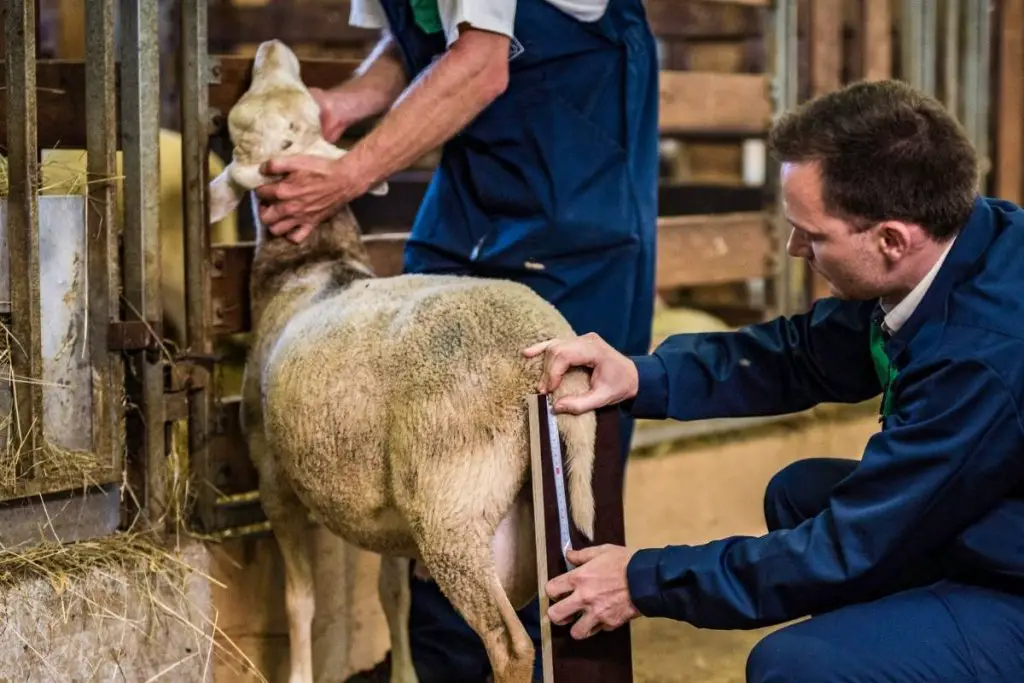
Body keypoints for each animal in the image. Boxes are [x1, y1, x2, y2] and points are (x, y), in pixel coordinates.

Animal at [207, 41, 598, 683]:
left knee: (511, 645)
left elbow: (299, 600)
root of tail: (544, 355)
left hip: (452, 506)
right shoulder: (387, 518)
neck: (315, 265)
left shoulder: (271, 475)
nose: (270, 47)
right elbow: (394, 596)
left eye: (245, 124)